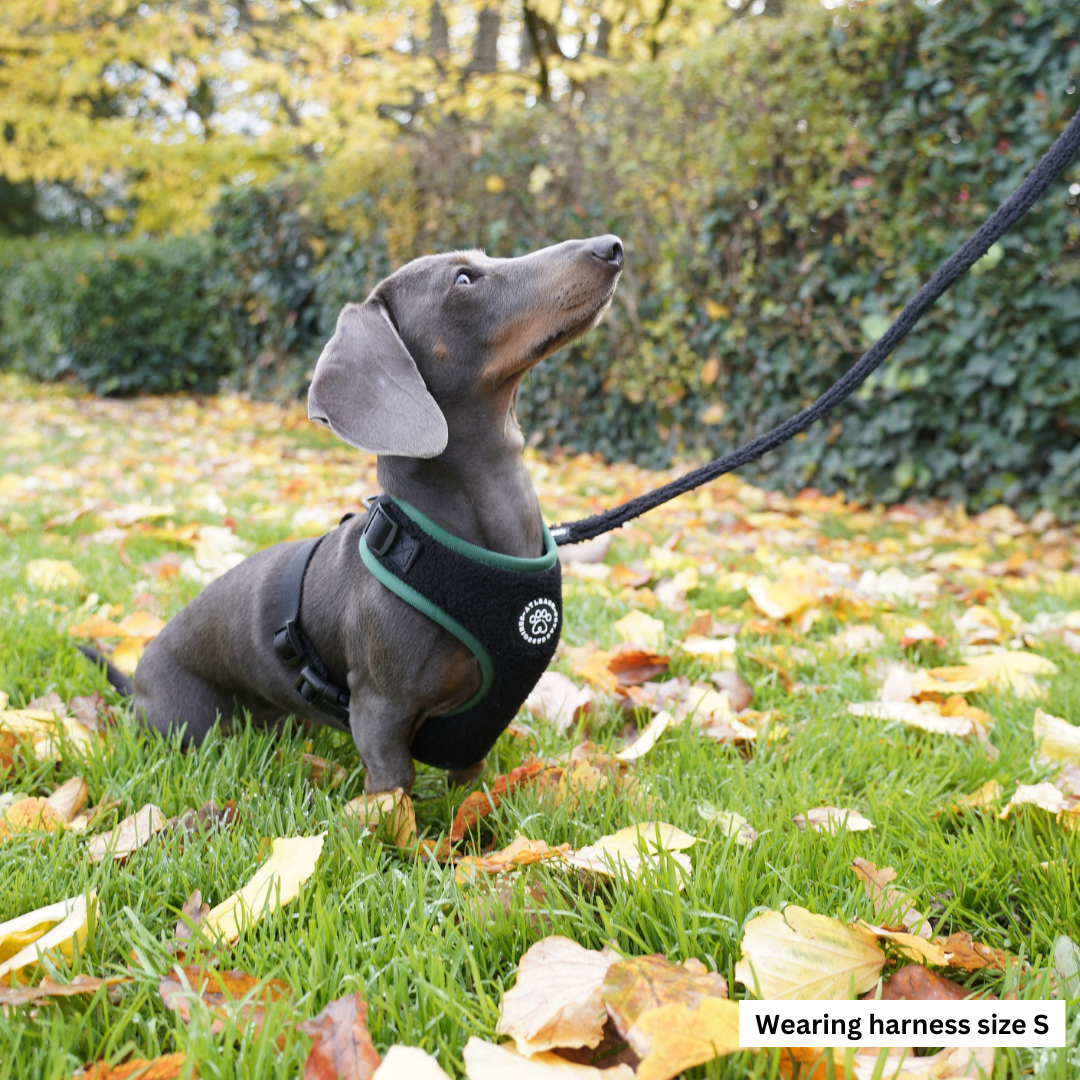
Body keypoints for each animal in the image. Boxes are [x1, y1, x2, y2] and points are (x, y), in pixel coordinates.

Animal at [86, 236, 626, 794]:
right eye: (462, 280)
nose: (610, 246)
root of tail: (137, 680)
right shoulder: (379, 714)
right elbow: (394, 789)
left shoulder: (475, 732)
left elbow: (469, 785)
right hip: (192, 726)